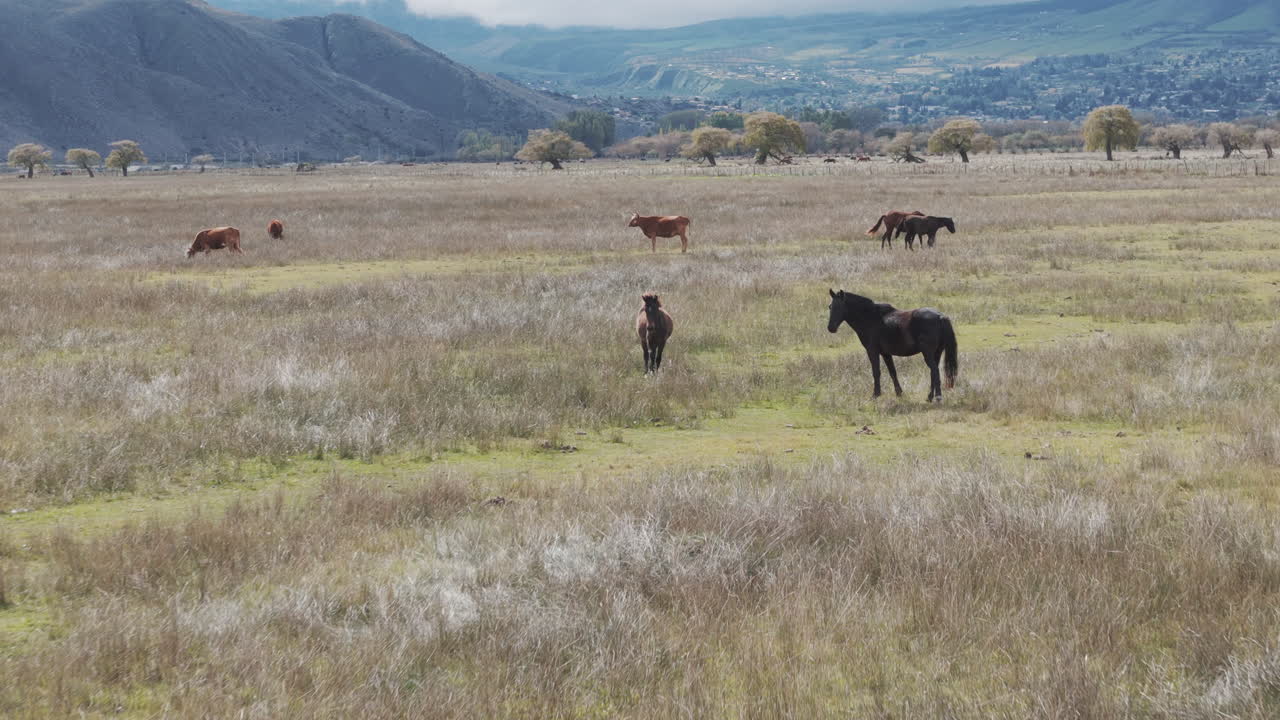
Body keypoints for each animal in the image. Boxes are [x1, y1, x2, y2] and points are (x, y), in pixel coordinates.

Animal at [826, 289, 958, 402]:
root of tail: (940, 317)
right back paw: (930, 397)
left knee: (935, 371)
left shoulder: (872, 351)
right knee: (933, 372)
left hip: (928, 354)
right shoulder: (886, 354)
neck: (871, 318)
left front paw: (875, 395)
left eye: (840, 307)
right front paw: (899, 393)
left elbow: (876, 372)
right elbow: (892, 372)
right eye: (830, 307)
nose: (830, 328)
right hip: (937, 353)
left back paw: (938, 397)